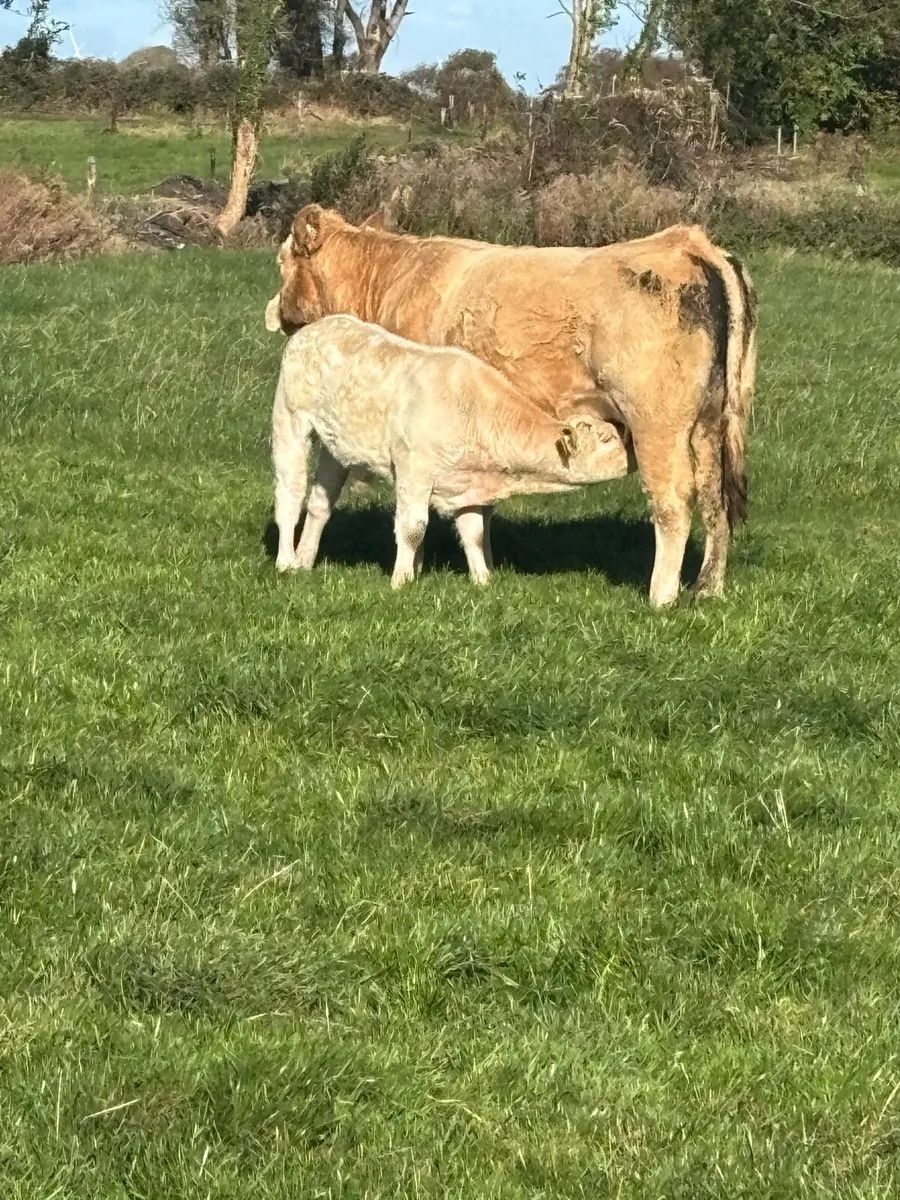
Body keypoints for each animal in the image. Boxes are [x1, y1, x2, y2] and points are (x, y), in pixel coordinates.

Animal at [269, 313, 632, 587]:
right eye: (607, 439)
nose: (632, 444)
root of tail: (318, 326)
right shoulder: (414, 469)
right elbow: (413, 528)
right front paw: (402, 580)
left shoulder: (466, 482)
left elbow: (474, 533)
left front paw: (483, 580)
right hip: (290, 422)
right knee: (290, 495)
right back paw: (286, 561)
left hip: (336, 449)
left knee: (320, 501)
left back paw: (304, 560)